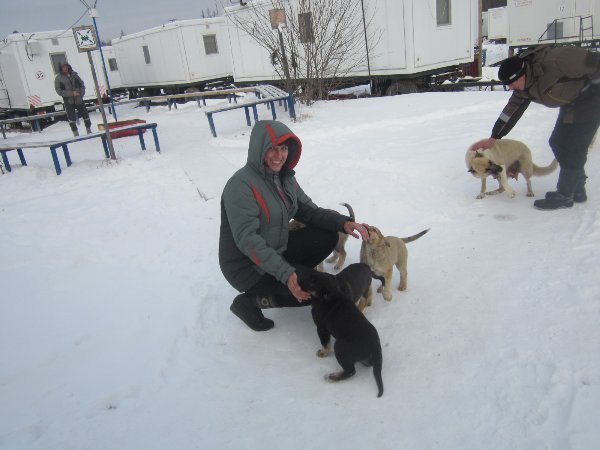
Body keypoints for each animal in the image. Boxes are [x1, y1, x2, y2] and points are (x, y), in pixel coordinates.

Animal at [297, 265, 384, 398]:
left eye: (312, 282)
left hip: (340, 346)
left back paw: (332, 377)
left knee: (351, 371)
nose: (298, 279)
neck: (331, 294)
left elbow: (325, 343)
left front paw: (323, 353)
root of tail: (376, 349)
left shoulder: (321, 328)